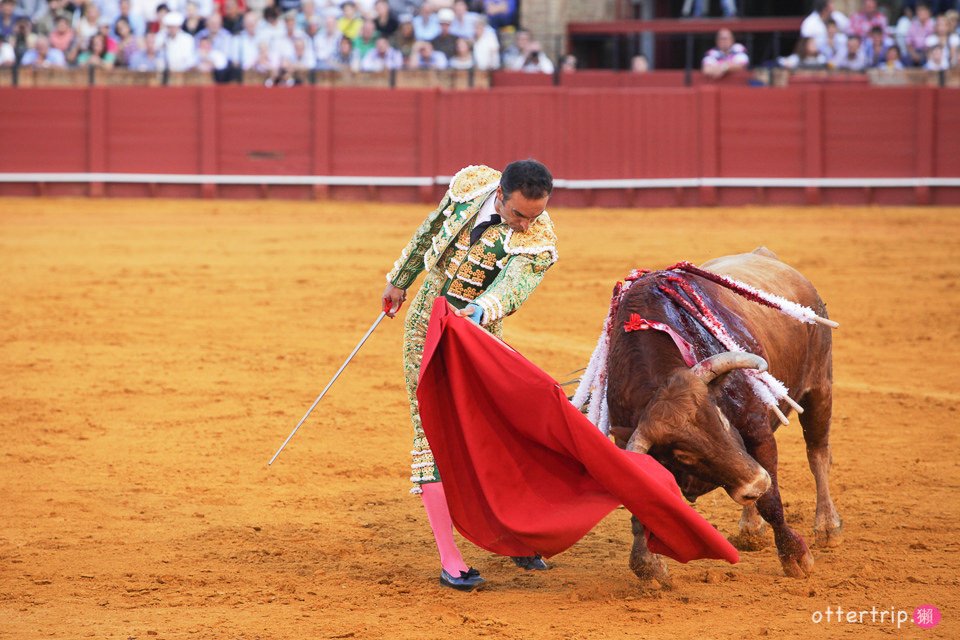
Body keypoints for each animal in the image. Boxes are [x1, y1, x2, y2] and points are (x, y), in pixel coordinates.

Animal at [608, 249, 840, 580]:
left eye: (722, 418)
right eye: (683, 455)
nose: (755, 483)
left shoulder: (758, 432)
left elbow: (772, 499)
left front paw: (795, 555)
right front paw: (648, 564)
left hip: (820, 386)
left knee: (818, 453)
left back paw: (827, 527)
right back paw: (751, 529)